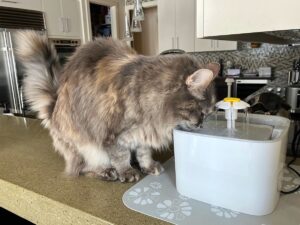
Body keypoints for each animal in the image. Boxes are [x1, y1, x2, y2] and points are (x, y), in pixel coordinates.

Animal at [16, 31, 219, 183]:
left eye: (208, 114)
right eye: (202, 113)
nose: (201, 124)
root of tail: (54, 109)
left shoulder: (144, 135)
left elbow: (144, 153)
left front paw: (147, 166)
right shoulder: (111, 135)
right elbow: (120, 156)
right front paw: (126, 172)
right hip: (85, 146)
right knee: (82, 168)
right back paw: (107, 172)